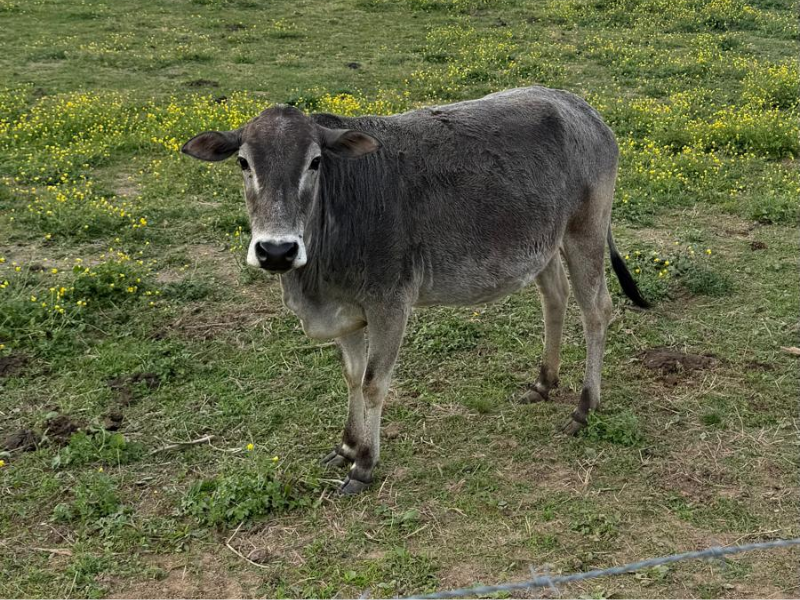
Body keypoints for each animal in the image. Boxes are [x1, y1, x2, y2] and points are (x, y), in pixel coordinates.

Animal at [181, 86, 649, 495]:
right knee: (555, 297)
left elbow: (374, 383)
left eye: (315, 162)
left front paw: (364, 463)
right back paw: (544, 382)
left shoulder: (390, 302)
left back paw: (584, 407)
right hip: (543, 246)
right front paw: (346, 445)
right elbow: (352, 377)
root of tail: (579, 106)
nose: (276, 250)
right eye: (244, 163)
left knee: (597, 310)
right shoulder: (344, 312)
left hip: (585, 230)